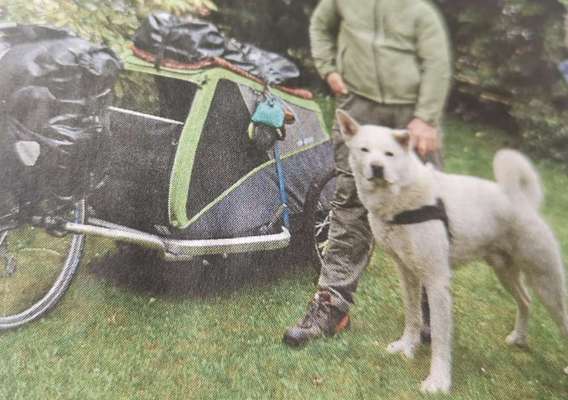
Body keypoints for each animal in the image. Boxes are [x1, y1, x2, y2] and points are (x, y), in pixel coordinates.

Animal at [338, 110, 568, 394]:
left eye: (389, 154)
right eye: (364, 150)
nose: (377, 167)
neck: (402, 199)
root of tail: (525, 202)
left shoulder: (437, 281)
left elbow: (439, 337)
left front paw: (438, 381)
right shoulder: (407, 274)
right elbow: (413, 317)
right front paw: (407, 347)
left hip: (546, 282)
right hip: (505, 273)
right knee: (525, 301)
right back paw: (519, 338)